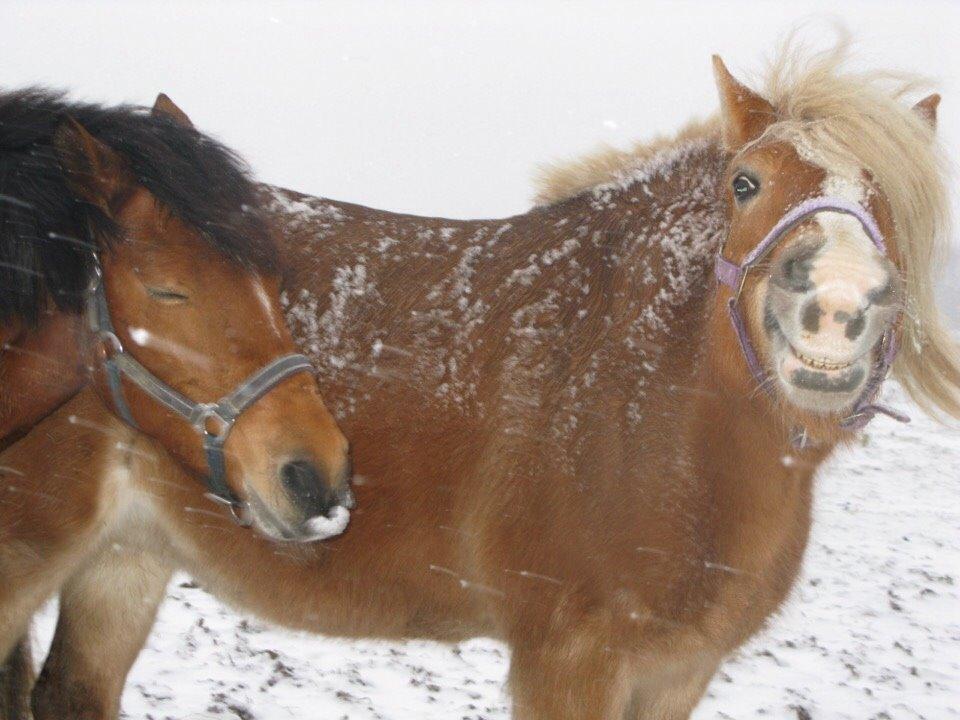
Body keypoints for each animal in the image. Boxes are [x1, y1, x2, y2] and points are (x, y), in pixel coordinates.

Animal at [1, 46, 960, 720]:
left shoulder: (681, 671)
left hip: (123, 561)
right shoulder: (567, 664)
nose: (836, 306)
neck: (655, 410)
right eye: (746, 183)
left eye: (895, 201)